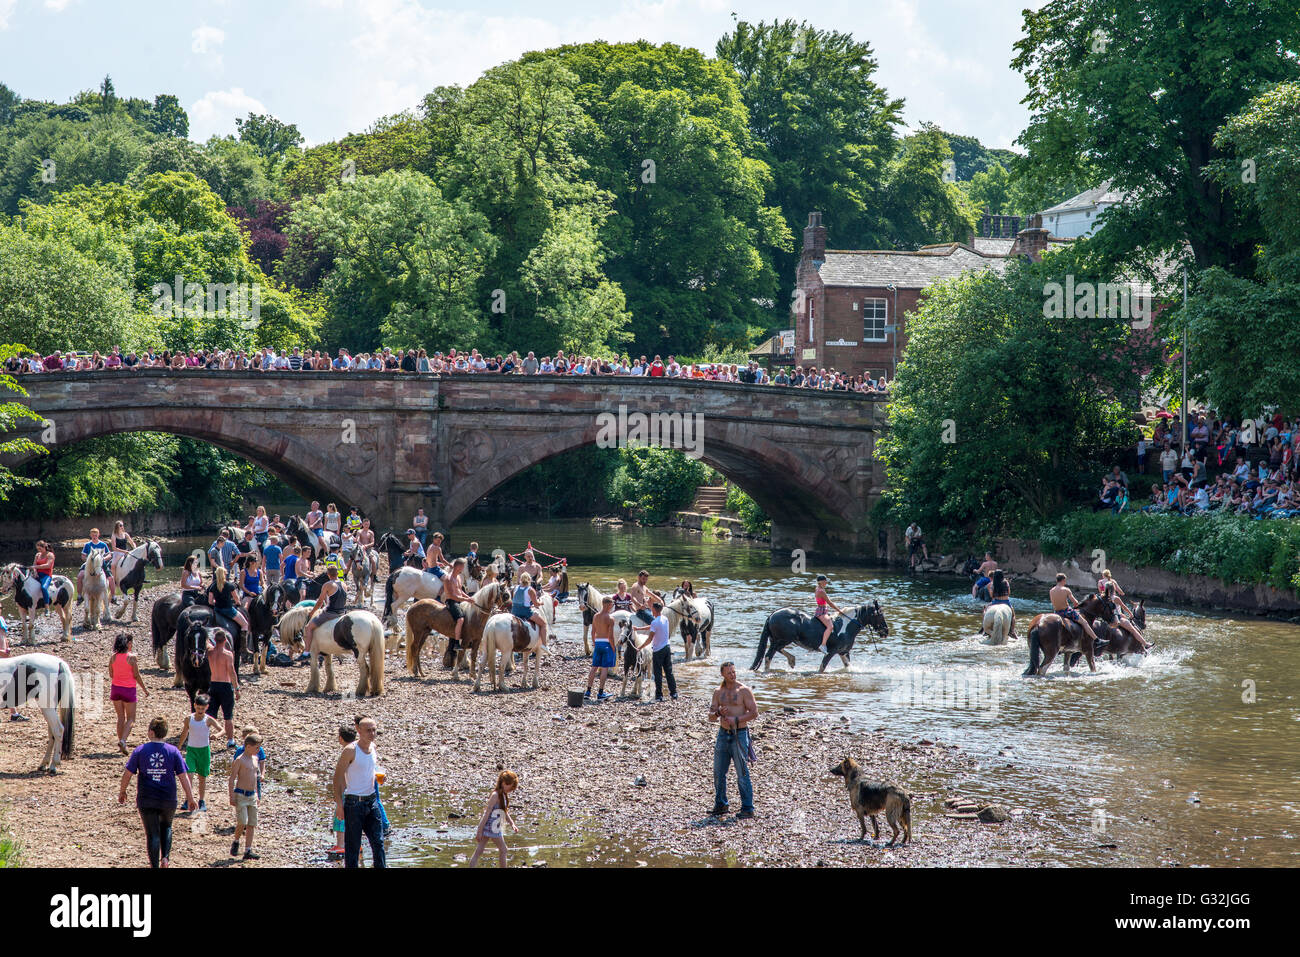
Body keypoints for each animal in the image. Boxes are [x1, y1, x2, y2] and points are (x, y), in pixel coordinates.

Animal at [748, 600, 889, 676]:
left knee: (775, 651)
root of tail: (772, 615)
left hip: (779, 640)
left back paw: (792, 661)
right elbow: (822, 667)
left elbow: (848, 667)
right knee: (769, 655)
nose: (886, 632)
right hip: (783, 640)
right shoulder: (831, 652)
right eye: (880, 615)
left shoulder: (843, 652)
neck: (847, 626)